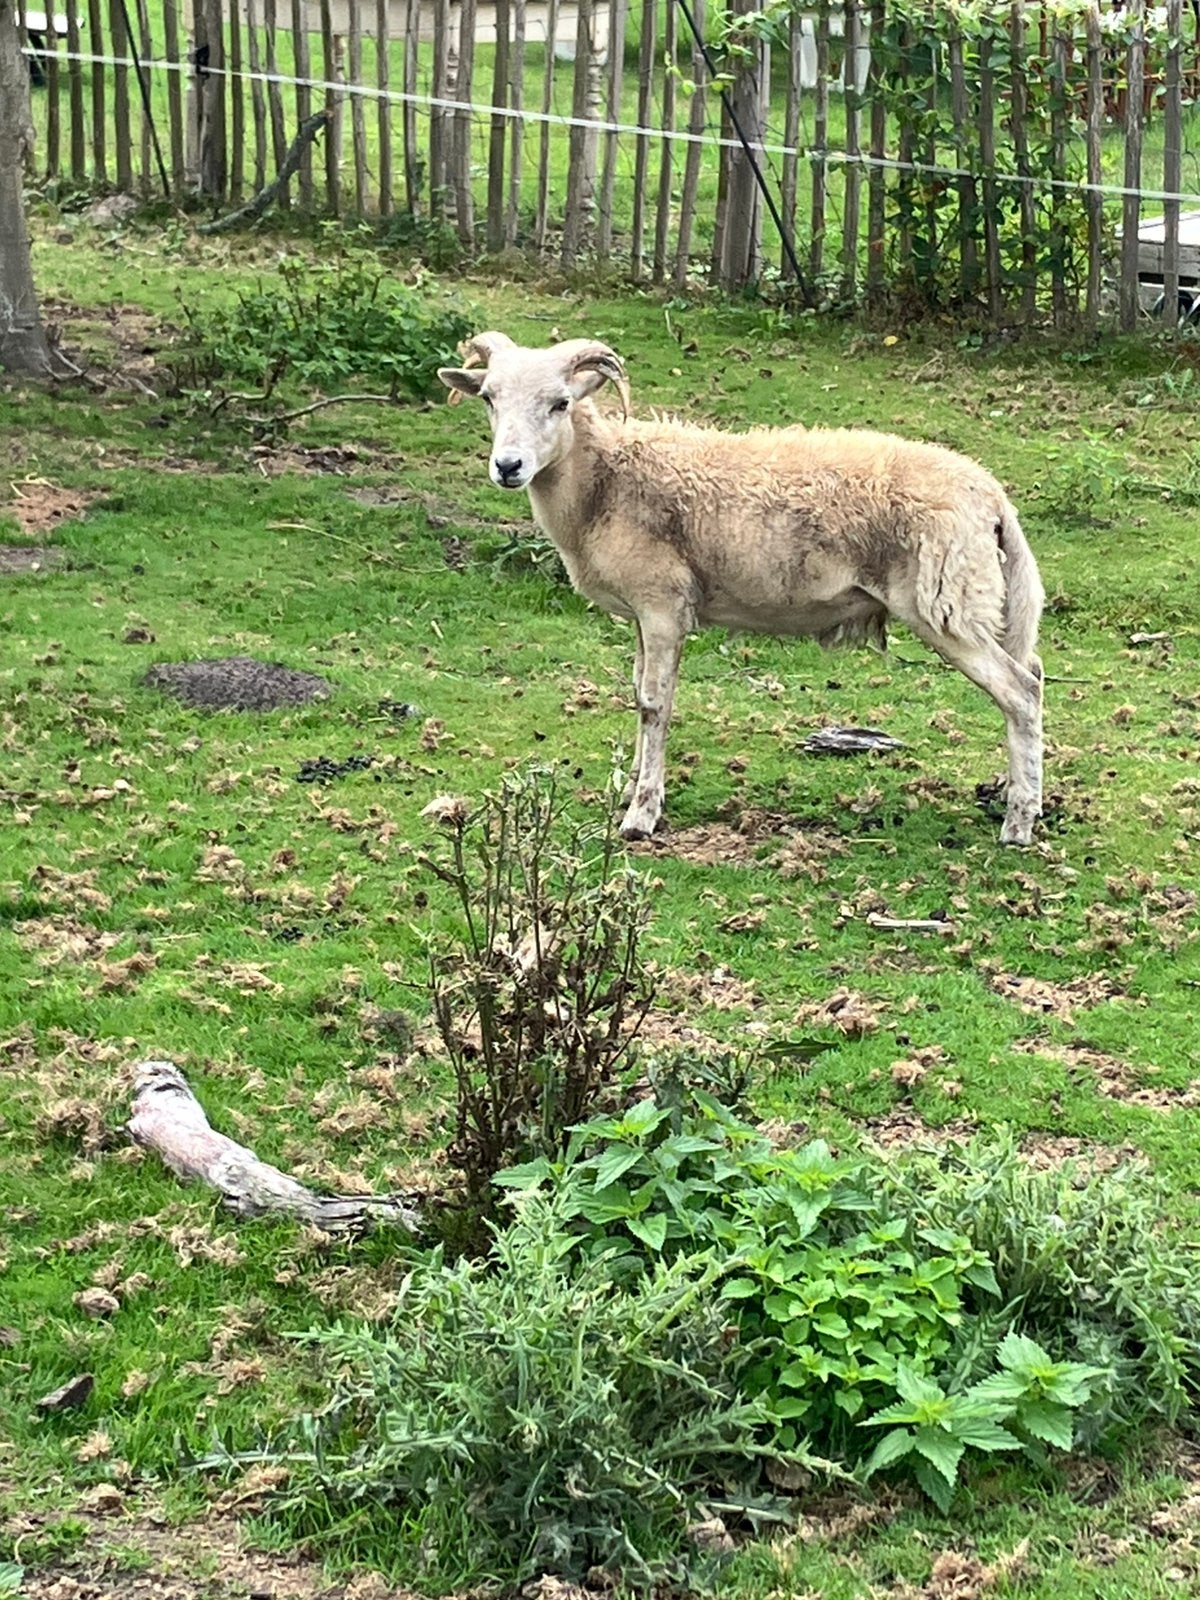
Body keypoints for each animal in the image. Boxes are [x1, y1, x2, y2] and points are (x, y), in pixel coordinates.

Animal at [438, 332, 1045, 847]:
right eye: (489, 398)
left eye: (561, 403)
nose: (509, 466)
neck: (604, 482)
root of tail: (990, 494)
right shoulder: (641, 615)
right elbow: (637, 694)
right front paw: (632, 786)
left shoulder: (663, 605)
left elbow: (654, 705)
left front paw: (641, 814)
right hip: (969, 598)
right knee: (1032, 670)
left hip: (944, 602)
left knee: (1021, 692)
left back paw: (1019, 823)